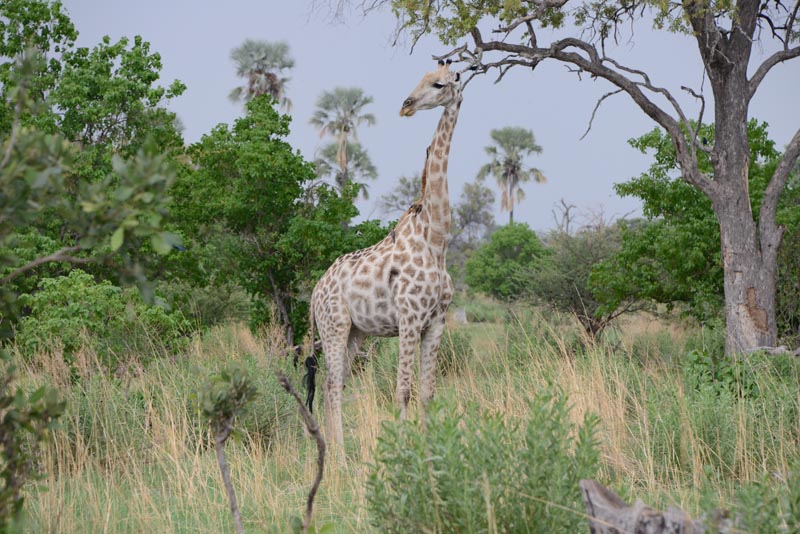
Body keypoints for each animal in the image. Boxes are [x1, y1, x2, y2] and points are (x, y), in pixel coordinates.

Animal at [308, 60, 463, 444]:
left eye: (439, 84)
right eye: (423, 78)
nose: (406, 105)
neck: (436, 239)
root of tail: (315, 292)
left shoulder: (436, 321)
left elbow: (427, 392)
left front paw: (430, 447)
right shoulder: (409, 319)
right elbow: (402, 391)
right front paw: (405, 449)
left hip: (356, 332)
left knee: (336, 383)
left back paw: (335, 448)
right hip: (333, 326)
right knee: (331, 385)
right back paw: (340, 454)